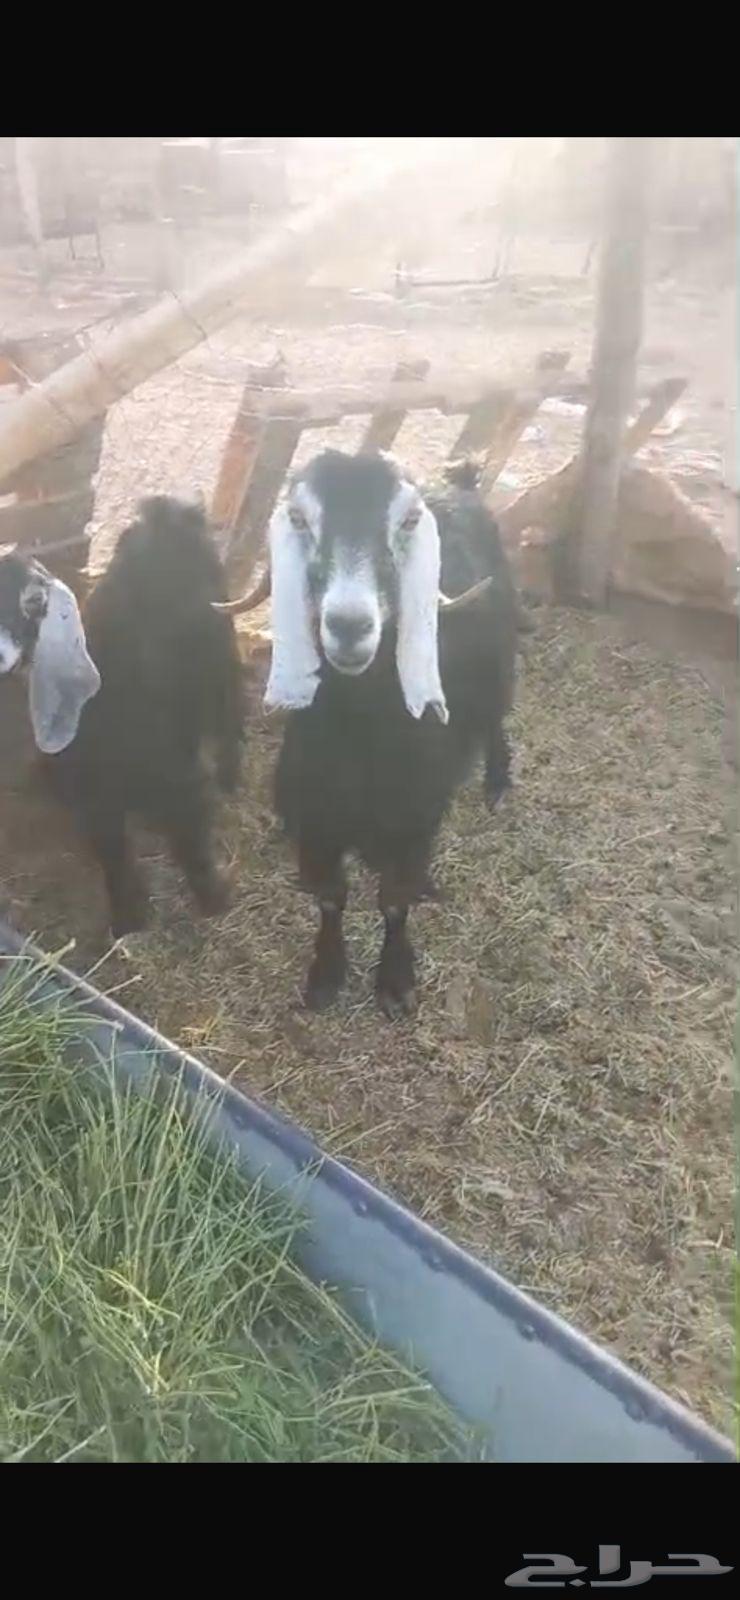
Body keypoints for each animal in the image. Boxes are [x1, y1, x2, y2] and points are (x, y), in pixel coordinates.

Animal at [217, 450, 518, 1018]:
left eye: (407, 521)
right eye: (299, 518)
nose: (350, 626)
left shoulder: (413, 823)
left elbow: (394, 901)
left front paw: (396, 981)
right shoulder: (318, 825)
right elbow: (330, 897)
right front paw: (326, 974)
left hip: (502, 662)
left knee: (496, 717)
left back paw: (497, 783)